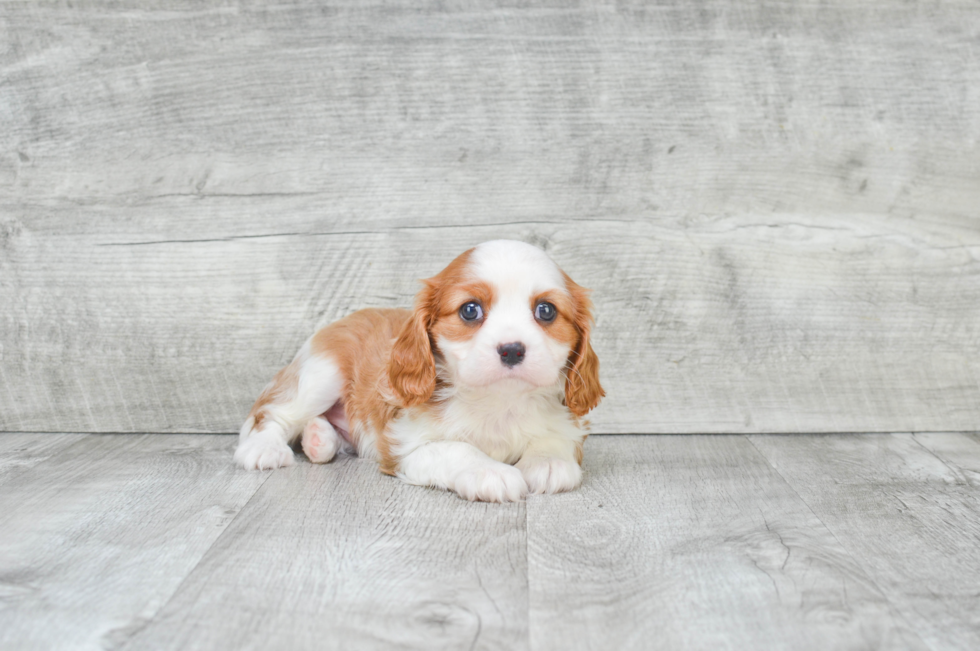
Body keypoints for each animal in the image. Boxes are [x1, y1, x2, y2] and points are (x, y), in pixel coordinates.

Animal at [237, 241, 604, 504]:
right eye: (470, 310)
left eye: (546, 311)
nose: (512, 349)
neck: (498, 402)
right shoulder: (405, 448)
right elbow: (457, 449)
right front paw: (489, 473)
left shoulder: (567, 424)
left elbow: (555, 440)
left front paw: (548, 463)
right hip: (322, 373)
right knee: (272, 414)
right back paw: (264, 449)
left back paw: (318, 439)